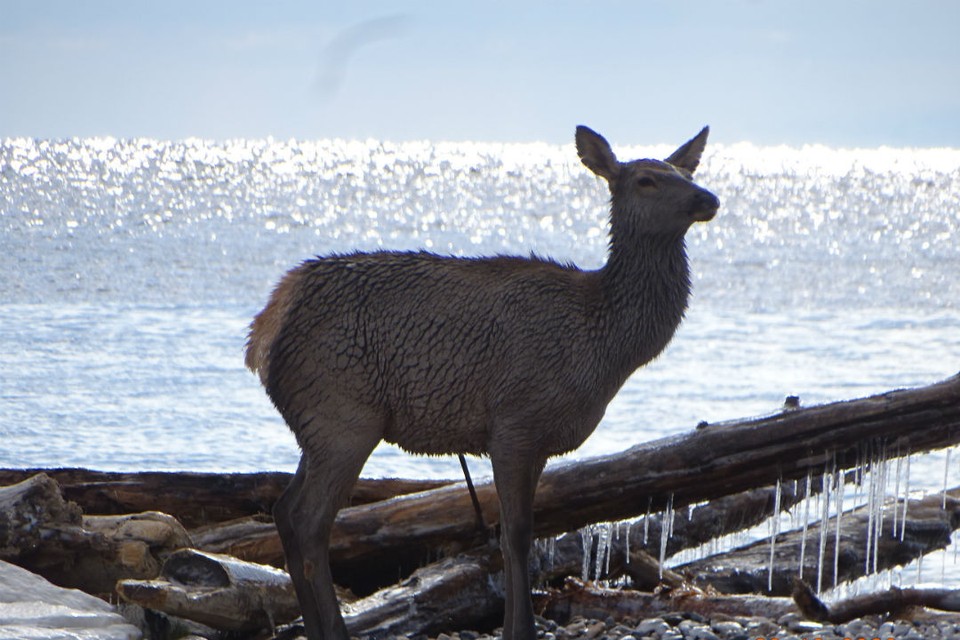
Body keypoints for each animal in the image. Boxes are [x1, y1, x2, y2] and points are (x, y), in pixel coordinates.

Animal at [244, 122, 716, 636]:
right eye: (646, 180)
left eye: (687, 173)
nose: (708, 198)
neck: (606, 348)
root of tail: (263, 331)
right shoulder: (514, 421)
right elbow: (517, 535)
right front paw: (521, 629)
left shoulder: (538, 440)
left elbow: (517, 533)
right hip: (344, 414)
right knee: (310, 522)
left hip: (316, 423)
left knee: (284, 512)